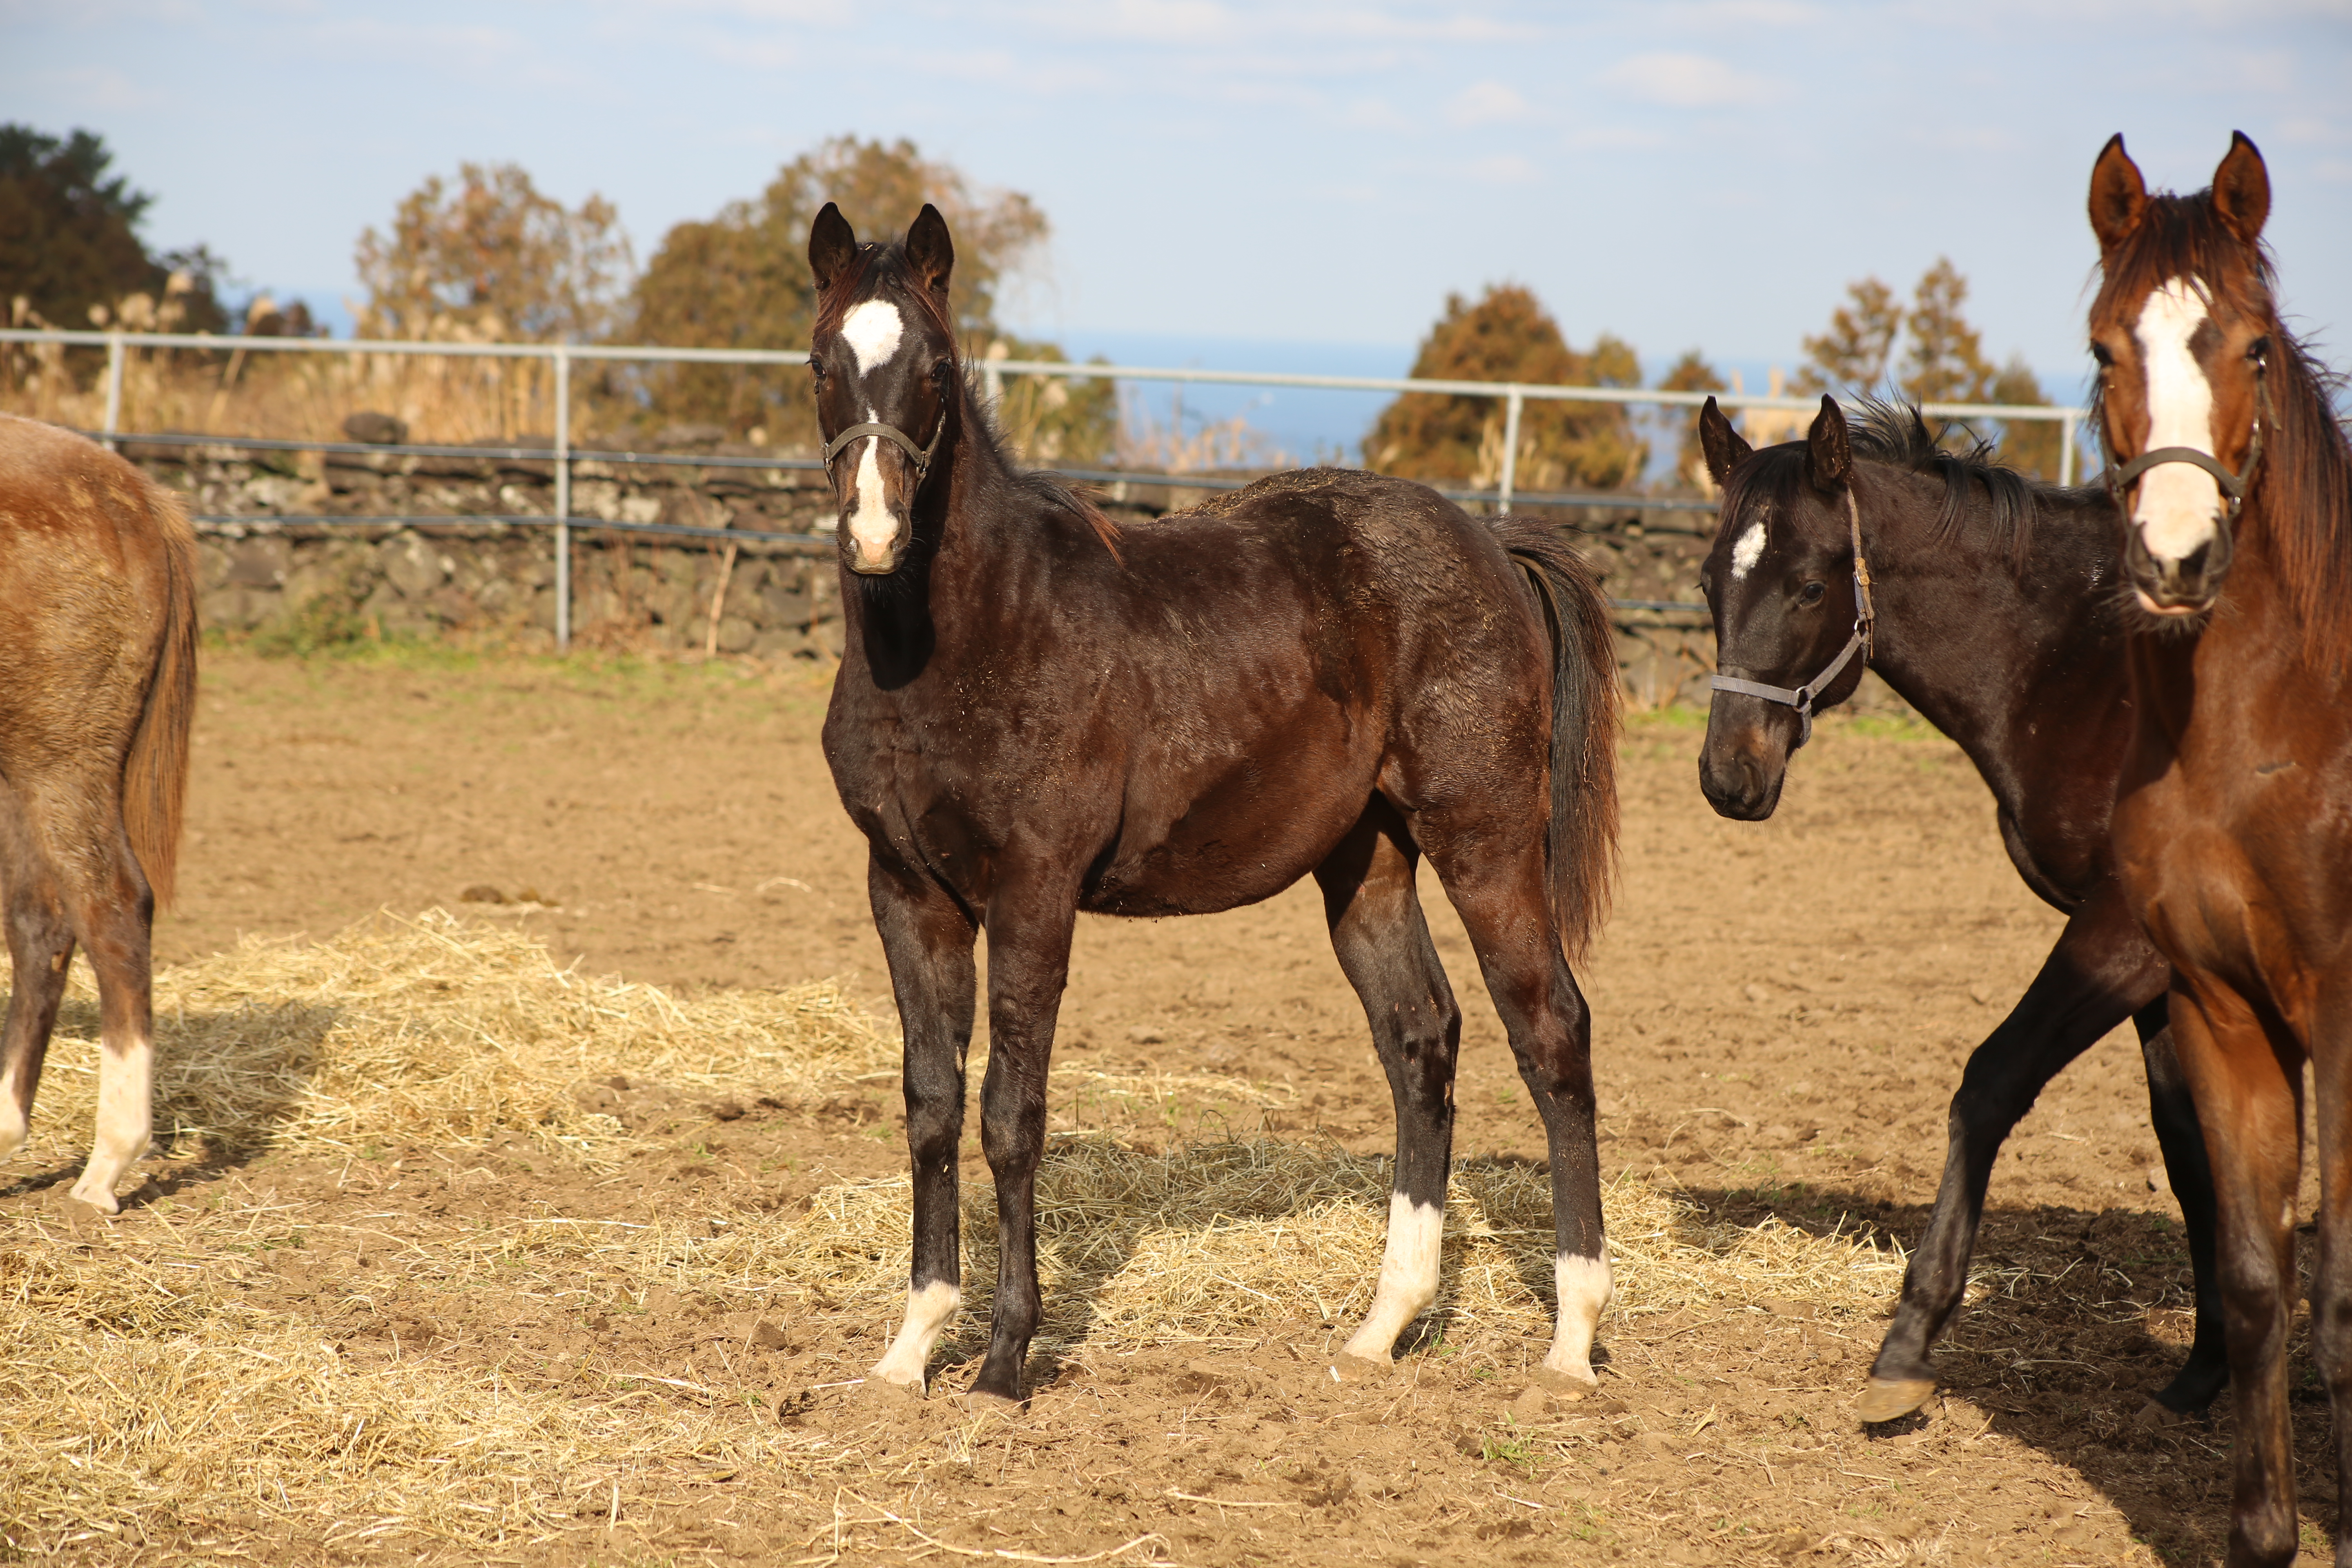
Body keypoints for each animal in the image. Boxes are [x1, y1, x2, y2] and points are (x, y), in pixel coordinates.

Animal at [809, 202, 1618, 1401]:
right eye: (822, 362)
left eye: (939, 369)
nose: (874, 533)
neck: (969, 638)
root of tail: (1487, 543)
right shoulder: (907, 892)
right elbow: (930, 1107)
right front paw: (912, 1343)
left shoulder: (1034, 892)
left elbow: (1010, 1113)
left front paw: (1004, 1358)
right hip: (1367, 863)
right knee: (1420, 1036)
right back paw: (1384, 1322)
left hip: (1485, 838)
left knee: (1551, 1029)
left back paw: (1570, 1339)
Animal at [1693, 399, 2220, 1429]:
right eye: (1705, 582)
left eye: (1808, 585)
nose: (1727, 777)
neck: (2092, 665)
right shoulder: (2163, 963)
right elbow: (2189, 1146)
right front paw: (2212, 1368)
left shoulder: (2125, 934)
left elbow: (1990, 1080)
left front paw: (1907, 1343)